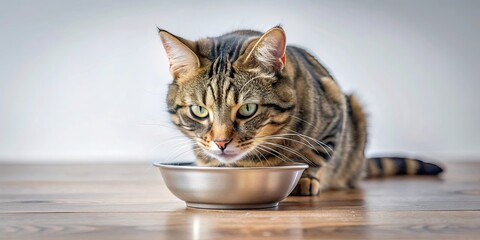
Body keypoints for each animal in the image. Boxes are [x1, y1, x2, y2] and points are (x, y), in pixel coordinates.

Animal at [158, 25, 442, 195]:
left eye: (248, 109)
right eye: (199, 110)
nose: (221, 143)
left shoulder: (336, 108)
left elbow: (316, 154)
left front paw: (305, 179)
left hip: (355, 109)